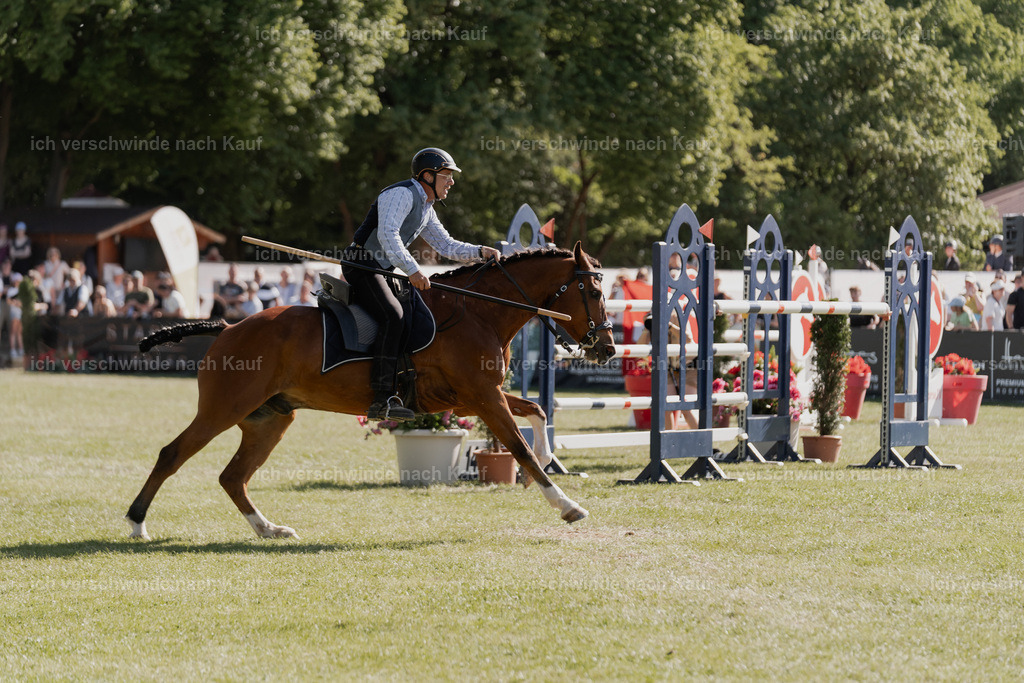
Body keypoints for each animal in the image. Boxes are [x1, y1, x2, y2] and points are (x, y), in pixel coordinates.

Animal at [125, 243, 616, 540]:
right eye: (593, 291)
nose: (608, 348)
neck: (480, 312)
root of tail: (228, 326)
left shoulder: (475, 396)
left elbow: (535, 411)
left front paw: (553, 462)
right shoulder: (483, 396)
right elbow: (519, 447)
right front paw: (567, 504)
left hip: (270, 419)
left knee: (233, 476)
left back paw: (269, 529)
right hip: (224, 408)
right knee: (172, 454)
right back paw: (136, 525)